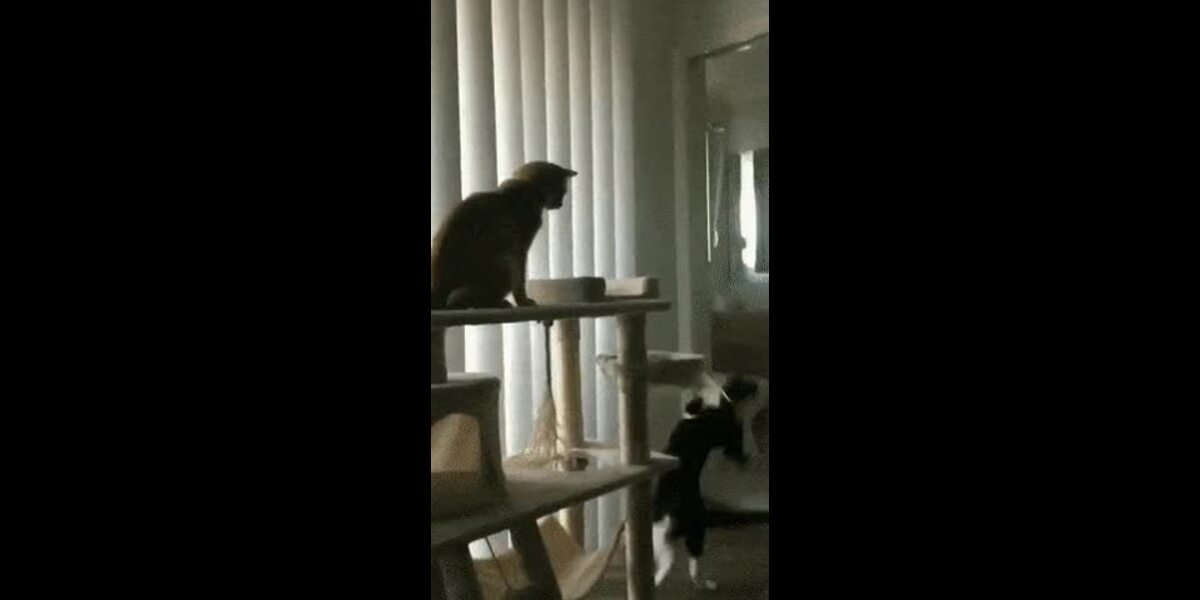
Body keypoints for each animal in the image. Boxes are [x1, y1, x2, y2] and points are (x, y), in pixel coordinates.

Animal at [430, 161, 576, 309]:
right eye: (563, 192)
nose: (561, 204)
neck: (527, 186)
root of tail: (437, 293)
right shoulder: (521, 247)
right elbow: (521, 280)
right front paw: (523, 301)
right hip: (506, 259)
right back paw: (498, 303)